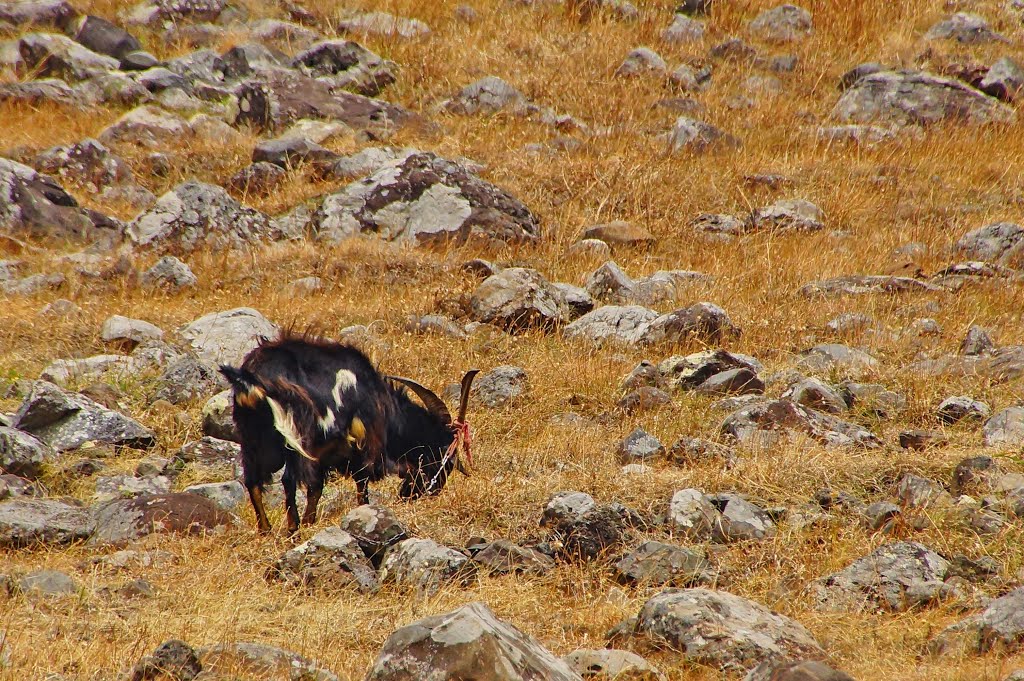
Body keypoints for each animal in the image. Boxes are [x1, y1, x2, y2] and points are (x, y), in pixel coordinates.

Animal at [217, 331, 479, 532]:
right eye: (443, 457)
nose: (428, 492)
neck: (382, 403)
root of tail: (254, 378)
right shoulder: (361, 445)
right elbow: (360, 486)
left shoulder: (325, 454)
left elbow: (316, 489)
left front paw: (311, 522)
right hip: (294, 436)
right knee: (288, 479)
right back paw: (293, 528)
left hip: (252, 436)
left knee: (252, 481)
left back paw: (266, 529)